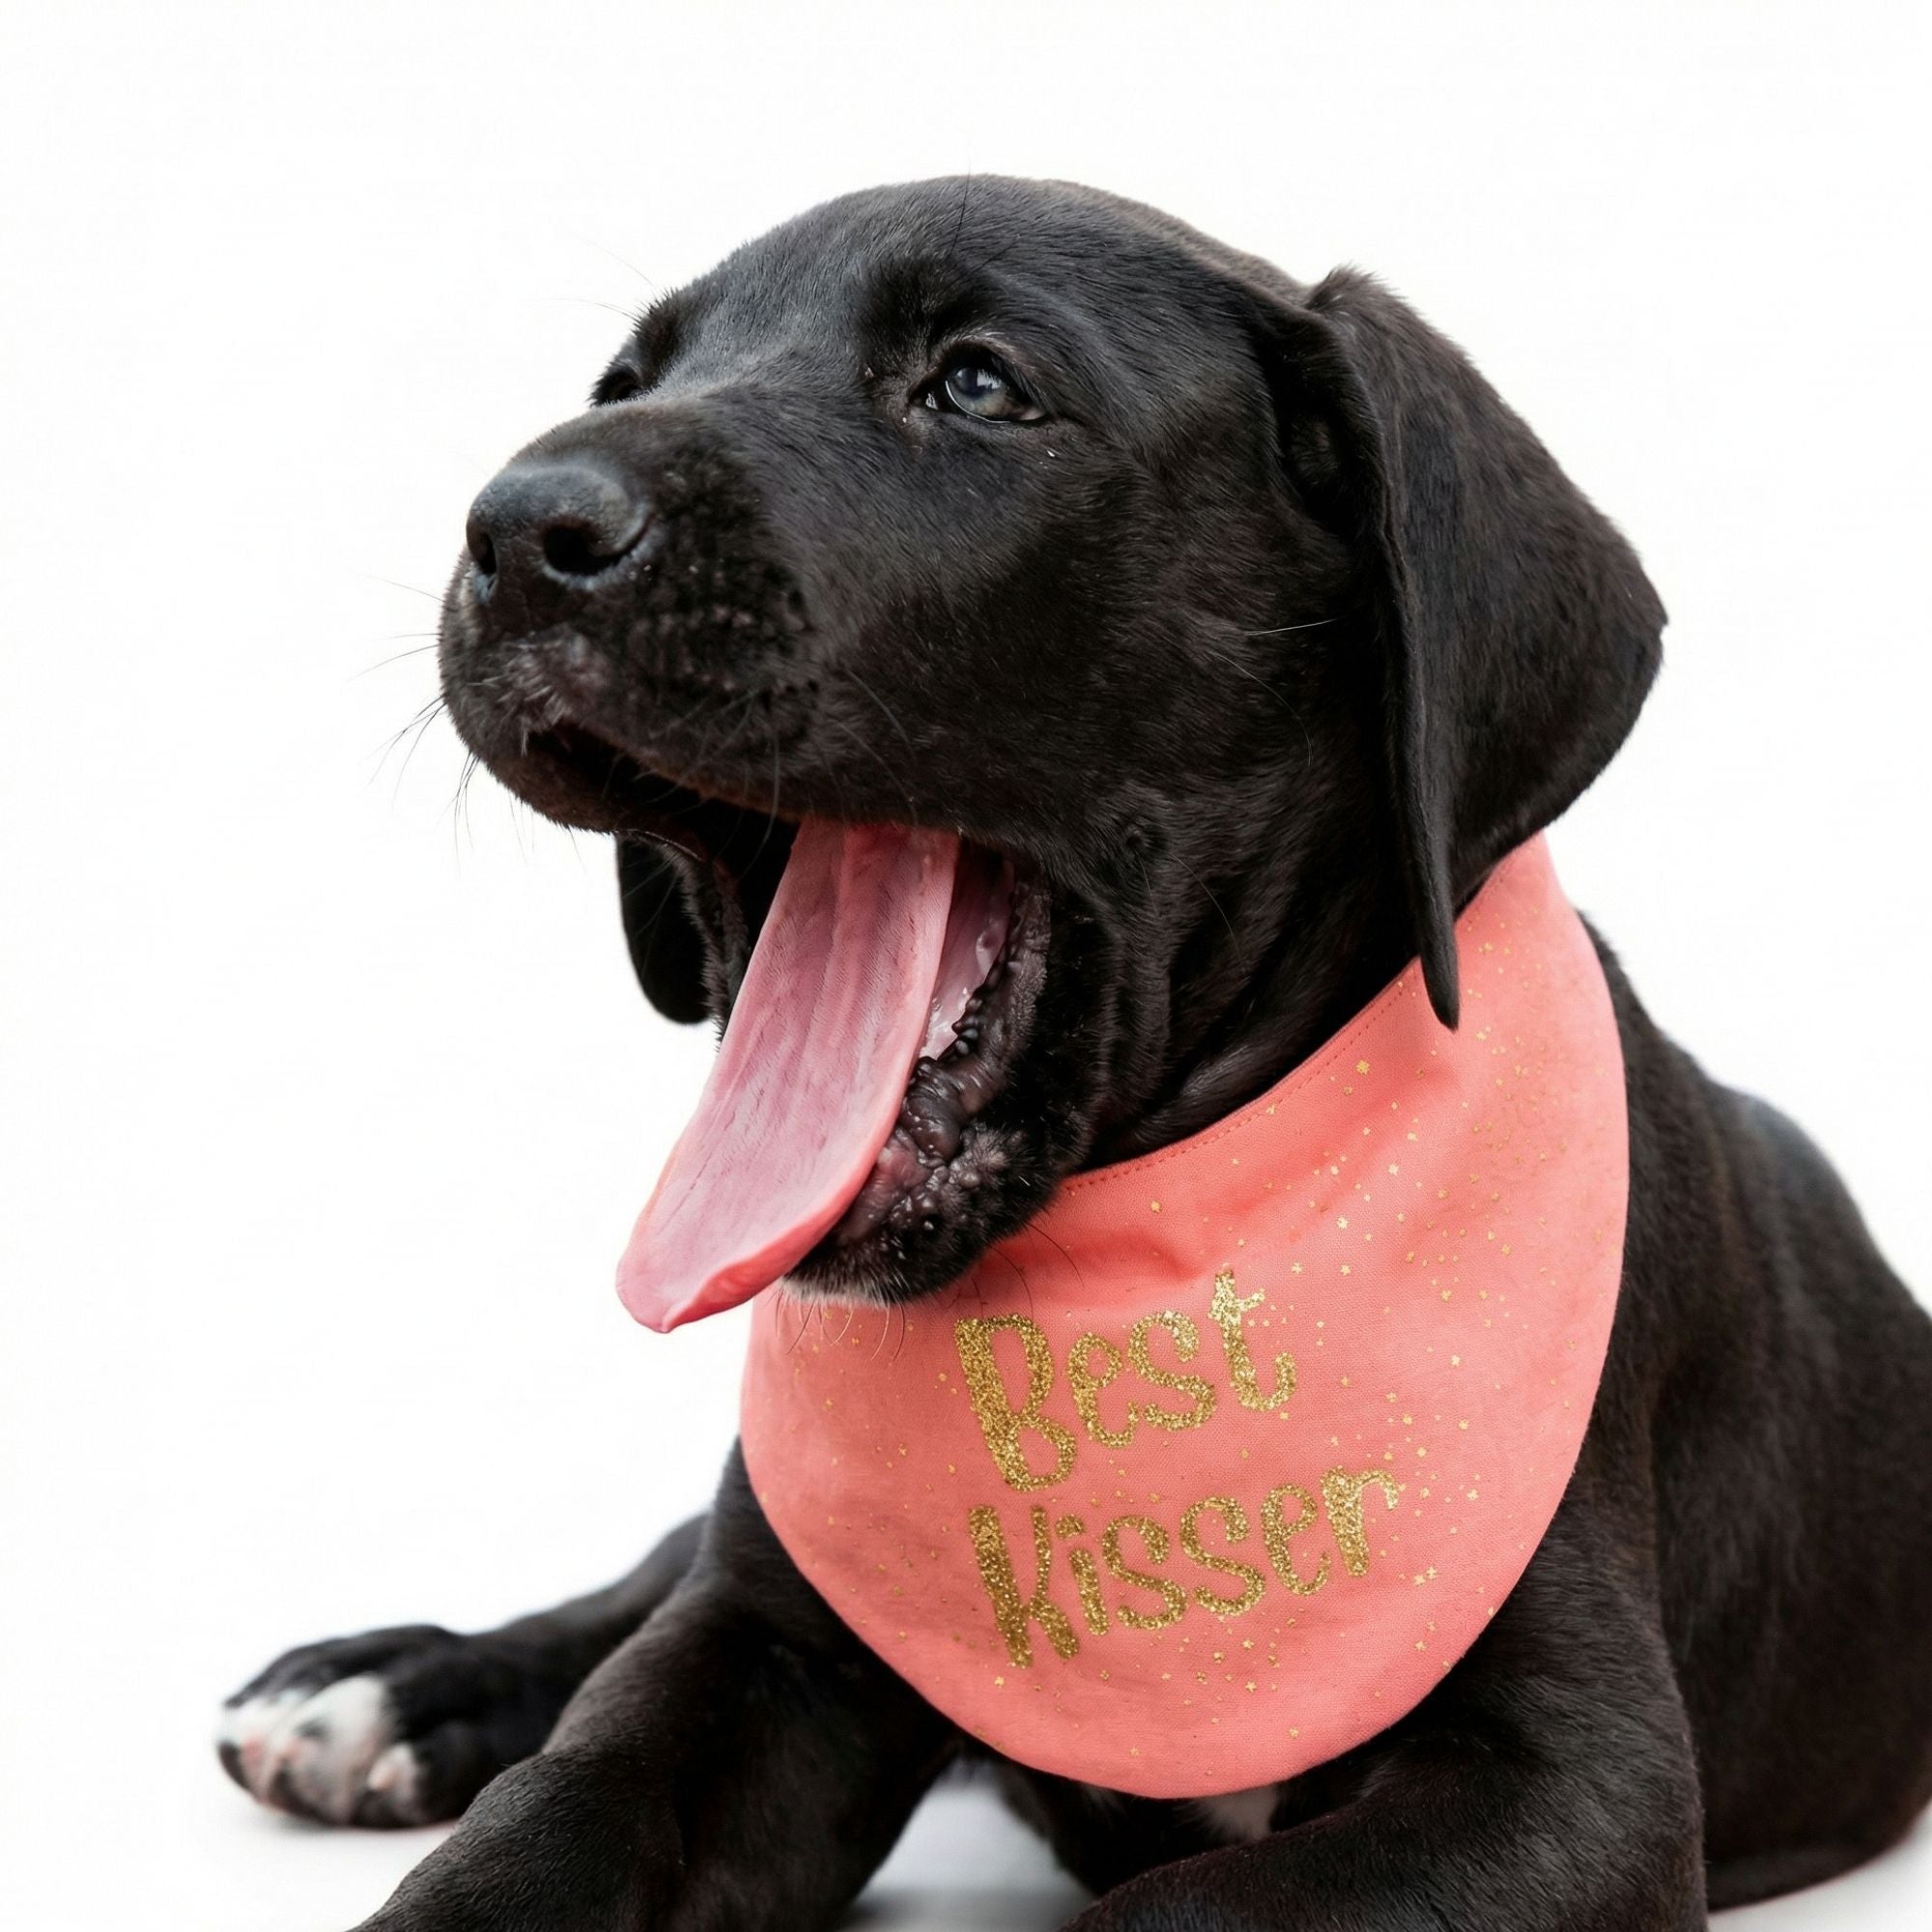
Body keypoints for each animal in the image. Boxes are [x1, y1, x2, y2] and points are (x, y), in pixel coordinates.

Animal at [218, 178, 1932, 1930]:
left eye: (979, 384)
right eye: (628, 381)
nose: (515, 530)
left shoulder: (1577, 1787)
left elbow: (1174, 1910)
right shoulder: (767, 1643)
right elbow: (556, 1801)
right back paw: (385, 1688)